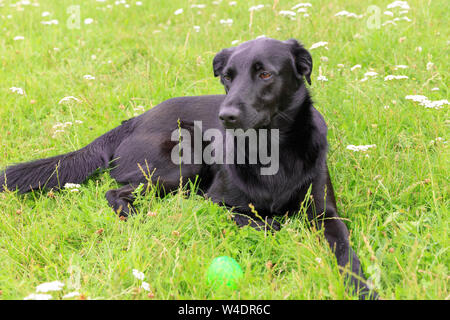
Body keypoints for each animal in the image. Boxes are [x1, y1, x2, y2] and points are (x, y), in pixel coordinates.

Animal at [1, 38, 378, 298]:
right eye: (227, 77)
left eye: (265, 74)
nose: (226, 117)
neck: (272, 150)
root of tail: (134, 120)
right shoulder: (219, 203)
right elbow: (262, 221)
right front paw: (279, 226)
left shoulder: (326, 213)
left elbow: (344, 248)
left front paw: (361, 285)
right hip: (186, 159)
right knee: (115, 191)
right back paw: (134, 215)